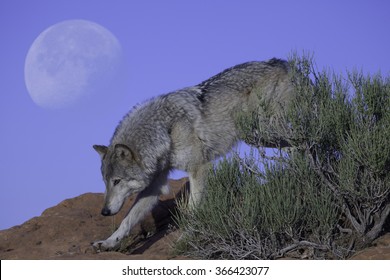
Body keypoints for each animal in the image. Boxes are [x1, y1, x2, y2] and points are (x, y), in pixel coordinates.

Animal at [92, 58, 292, 250]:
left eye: (117, 181)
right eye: (105, 182)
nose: (104, 212)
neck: (166, 130)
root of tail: (280, 62)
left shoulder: (198, 168)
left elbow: (193, 210)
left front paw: (187, 238)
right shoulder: (156, 185)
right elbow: (127, 220)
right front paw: (108, 242)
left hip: (262, 132)